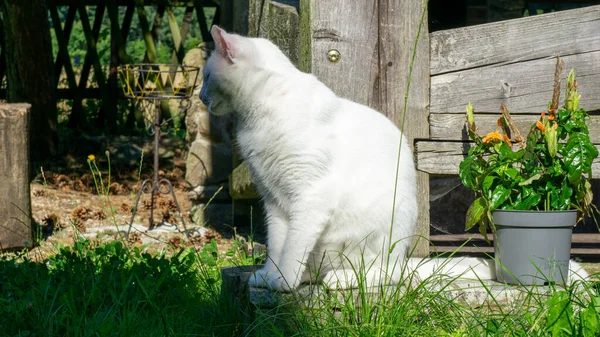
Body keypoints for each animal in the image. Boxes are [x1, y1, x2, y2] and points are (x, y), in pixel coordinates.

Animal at [200, 25, 418, 292]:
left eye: (207, 76)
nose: (200, 96)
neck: (256, 118)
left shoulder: (311, 195)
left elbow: (293, 247)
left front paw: (283, 281)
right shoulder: (273, 201)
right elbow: (278, 245)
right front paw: (271, 276)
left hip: (376, 233)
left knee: (387, 272)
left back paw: (340, 277)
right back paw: (307, 275)